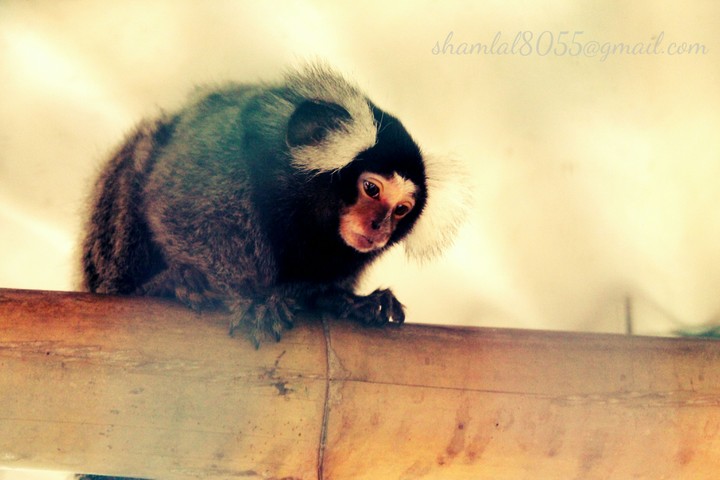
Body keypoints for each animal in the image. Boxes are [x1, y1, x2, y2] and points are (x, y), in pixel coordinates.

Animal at [81, 64, 464, 346]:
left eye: (401, 209)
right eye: (371, 188)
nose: (379, 227)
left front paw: (345, 302)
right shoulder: (214, 155)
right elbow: (175, 212)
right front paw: (250, 298)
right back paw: (165, 284)